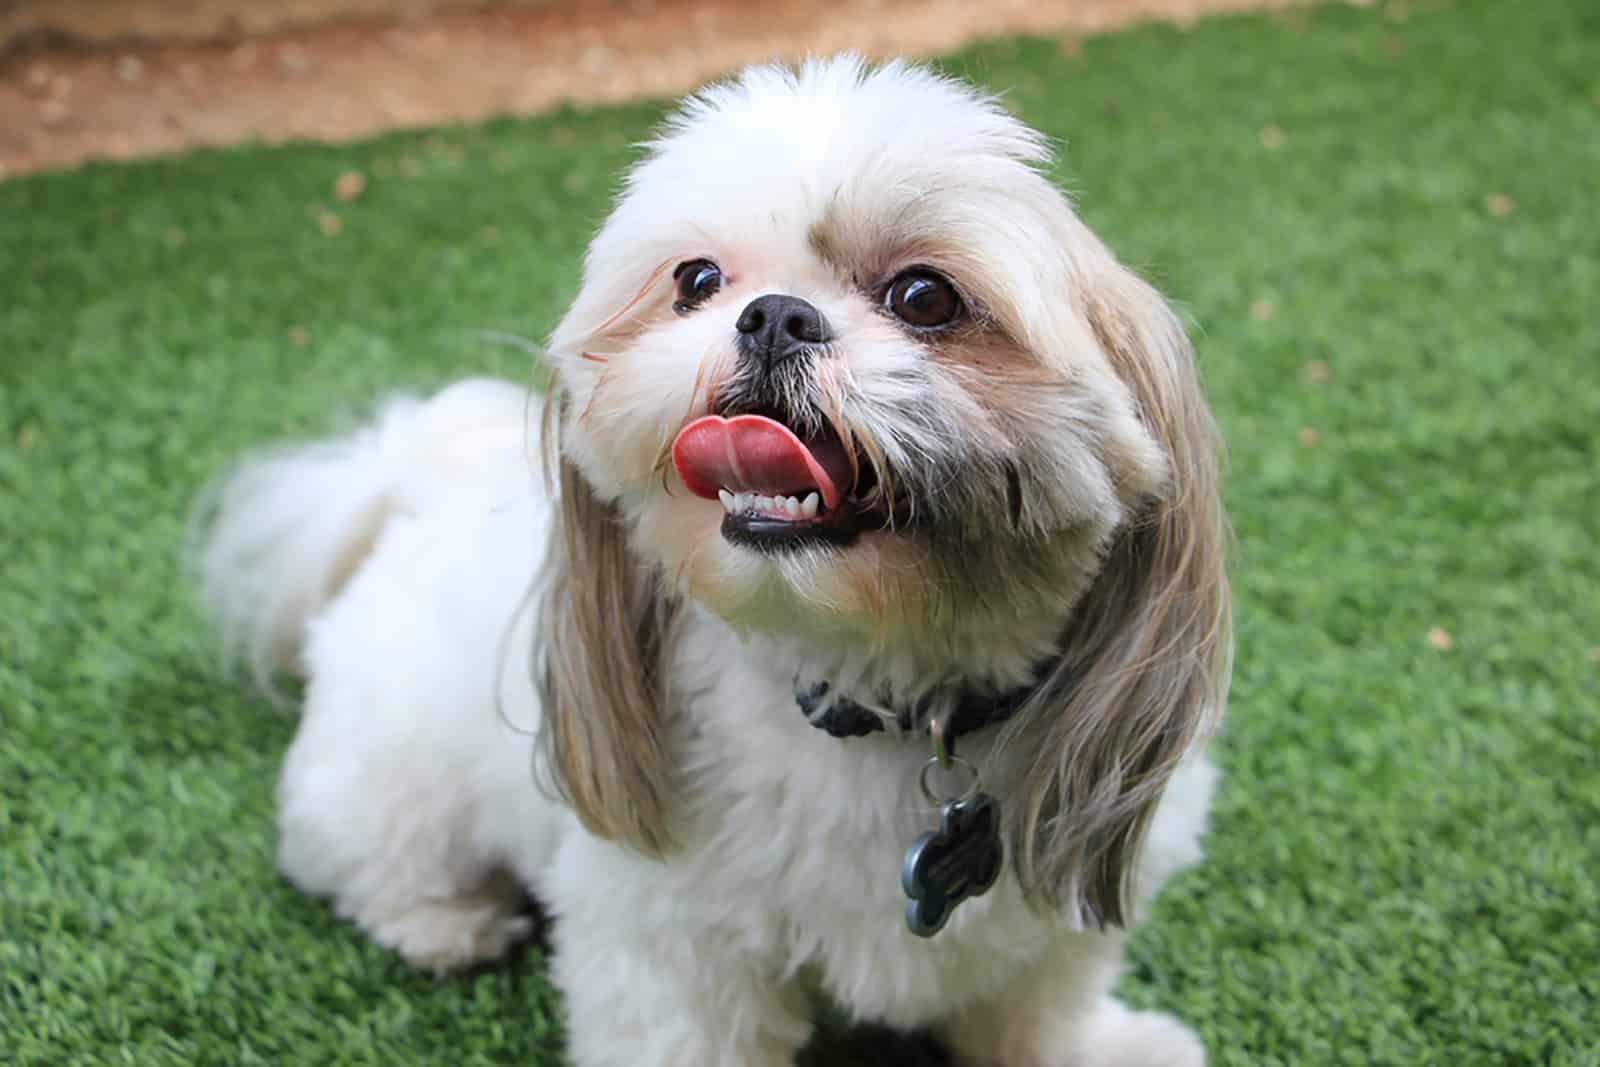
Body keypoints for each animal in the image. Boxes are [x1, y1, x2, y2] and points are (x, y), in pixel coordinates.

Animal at [193, 58, 1228, 1067]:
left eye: (925, 297)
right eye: (696, 280)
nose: (774, 316)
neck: (872, 700)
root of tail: (410, 484)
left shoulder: (1053, 915)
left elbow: (1040, 1009)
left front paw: (1103, 1046)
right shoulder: (668, 940)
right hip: (388, 778)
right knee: (369, 856)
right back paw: (444, 923)